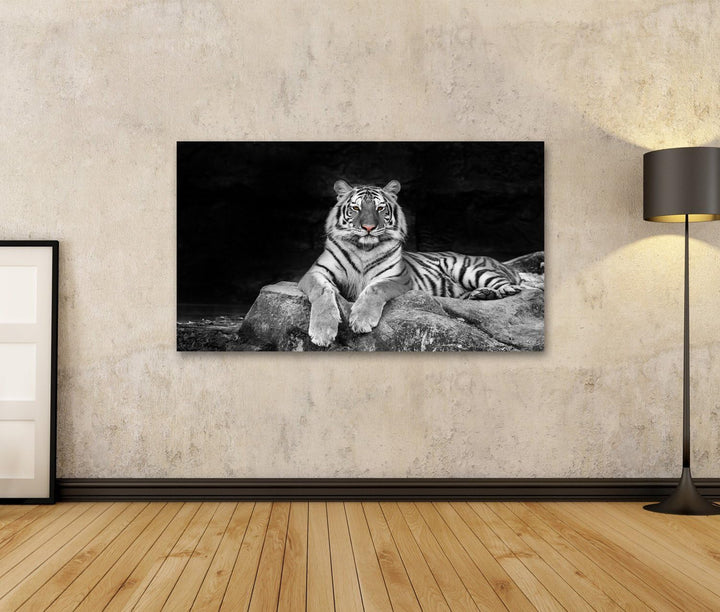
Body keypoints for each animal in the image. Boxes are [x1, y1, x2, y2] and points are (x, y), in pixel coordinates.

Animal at [298, 179, 522, 347]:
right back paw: (479, 295)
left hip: (467, 268)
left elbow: (374, 288)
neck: (364, 249)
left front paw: (361, 320)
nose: (368, 227)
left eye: (380, 208)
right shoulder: (315, 273)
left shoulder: (397, 277)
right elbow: (322, 291)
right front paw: (322, 332)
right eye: (355, 208)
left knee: (510, 286)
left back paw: (496, 291)